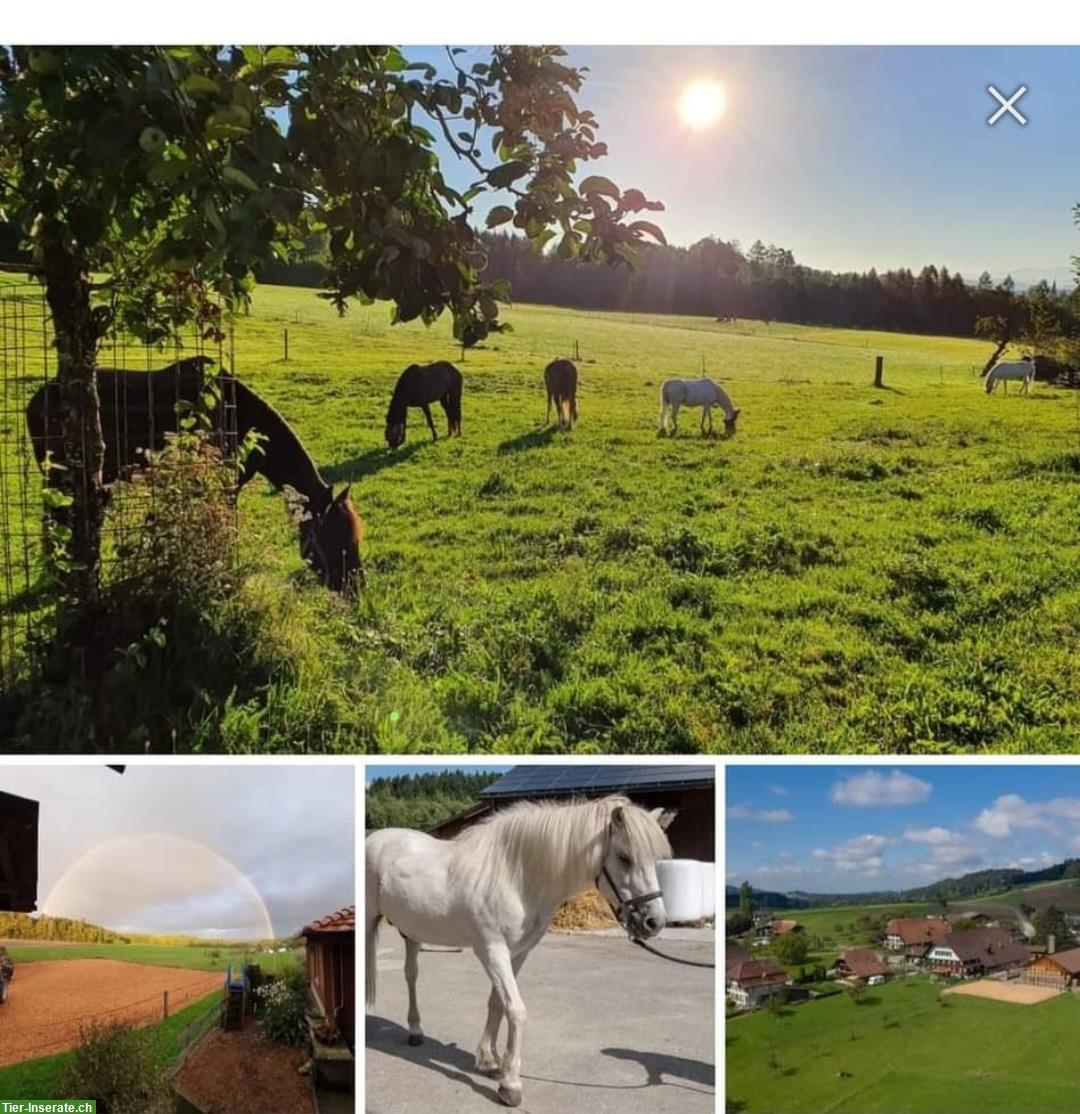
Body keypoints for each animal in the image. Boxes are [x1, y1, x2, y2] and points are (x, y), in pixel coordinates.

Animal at [370, 793, 673, 1105]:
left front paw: (489, 1061)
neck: (515, 876)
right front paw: (511, 1085)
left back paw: (415, 1030)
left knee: (411, 974)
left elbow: (497, 1004)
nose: (654, 922)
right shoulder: (491, 949)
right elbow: (516, 1009)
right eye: (624, 857)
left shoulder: (517, 952)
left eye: (656, 860)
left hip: (412, 932)